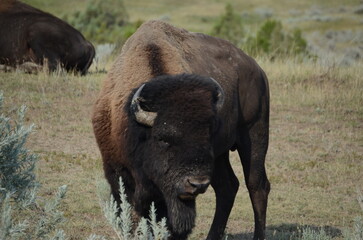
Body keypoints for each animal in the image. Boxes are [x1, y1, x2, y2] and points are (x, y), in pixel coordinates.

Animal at [92, 19, 272, 239]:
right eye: (163, 139)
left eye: (205, 137)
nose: (197, 183)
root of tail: (257, 69)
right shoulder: (117, 170)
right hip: (221, 155)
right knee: (227, 187)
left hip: (255, 135)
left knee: (257, 185)